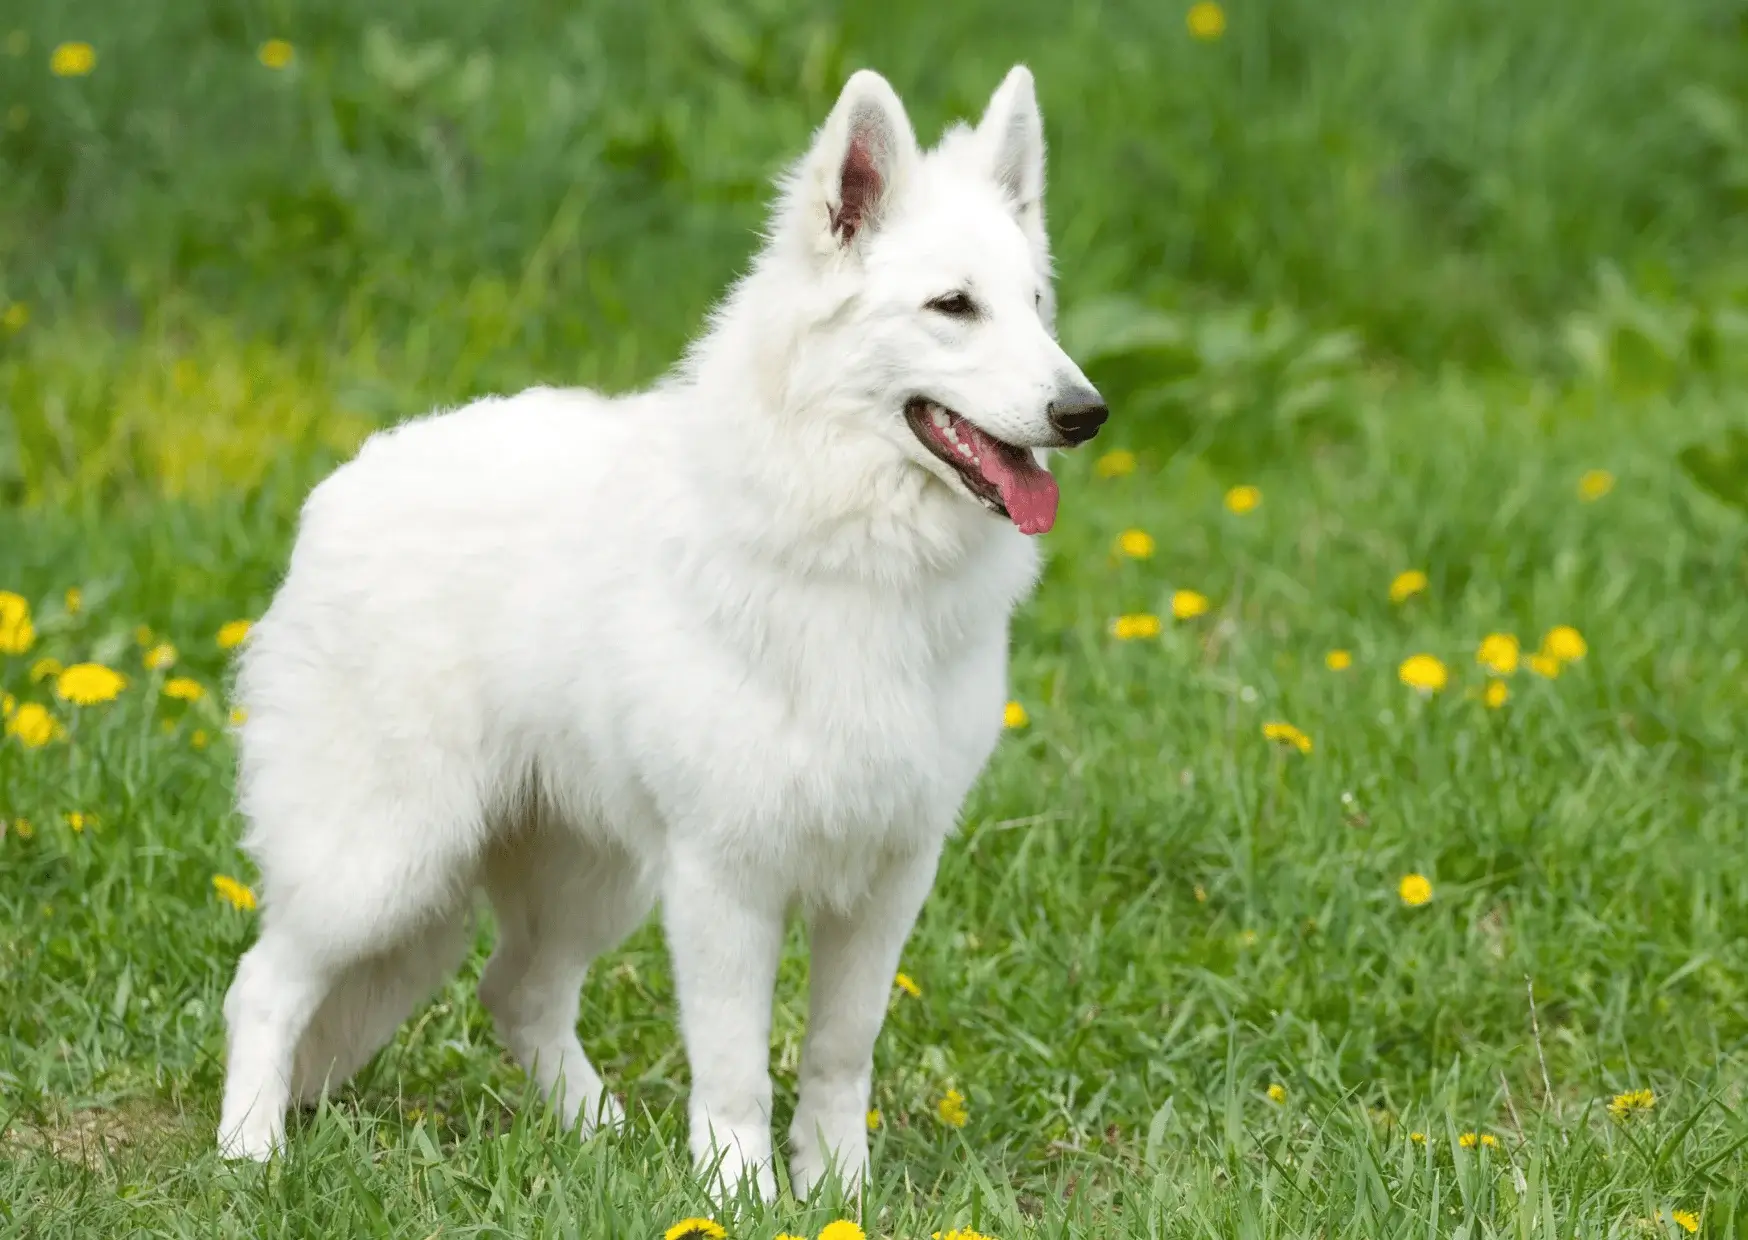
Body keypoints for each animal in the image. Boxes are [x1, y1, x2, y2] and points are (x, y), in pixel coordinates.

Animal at [218, 62, 1104, 1196]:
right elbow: (734, 1064)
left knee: (517, 991)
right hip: (382, 866)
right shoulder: (725, 881)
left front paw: (834, 1190)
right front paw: (737, 1192)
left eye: (1034, 306)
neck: (848, 548)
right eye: (953, 306)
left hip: (589, 875)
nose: (1085, 411)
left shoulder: (886, 877)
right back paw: (249, 1152)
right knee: (265, 983)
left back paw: (599, 1135)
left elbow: (837, 1050)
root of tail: (337, 491)